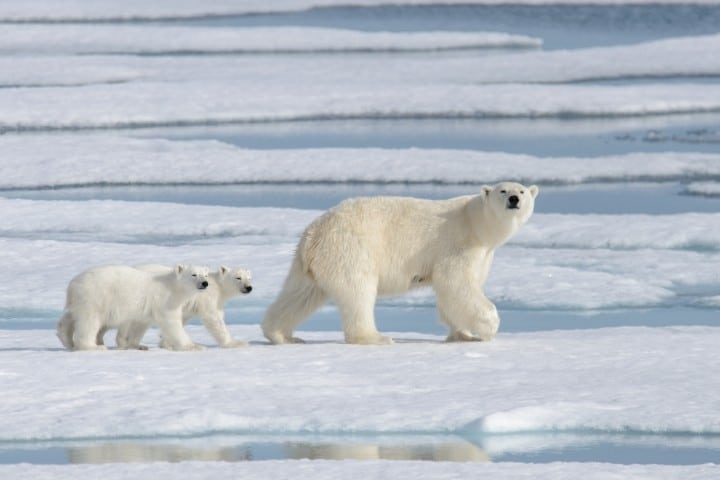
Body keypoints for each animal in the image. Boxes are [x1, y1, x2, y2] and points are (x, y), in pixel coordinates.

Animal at [56, 264, 210, 350]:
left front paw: (137, 345)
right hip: (96, 298)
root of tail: (72, 284)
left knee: (70, 317)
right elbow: (171, 323)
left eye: (206, 274)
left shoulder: (145, 309)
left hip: (80, 300)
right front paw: (193, 346)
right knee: (89, 322)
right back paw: (93, 346)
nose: (205, 283)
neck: (173, 286)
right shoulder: (164, 301)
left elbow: (140, 325)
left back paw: (66, 340)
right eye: (194, 274)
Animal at [262, 182, 536, 344]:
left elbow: (453, 292)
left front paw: (462, 334)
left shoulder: (483, 254)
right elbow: (456, 283)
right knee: (358, 293)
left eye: (522, 190)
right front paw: (489, 327)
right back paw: (375, 337)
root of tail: (314, 233)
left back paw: (280, 335)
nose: (514, 199)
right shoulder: (458, 245)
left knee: (300, 295)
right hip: (352, 250)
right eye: (503, 190)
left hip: (311, 263)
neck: (475, 223)